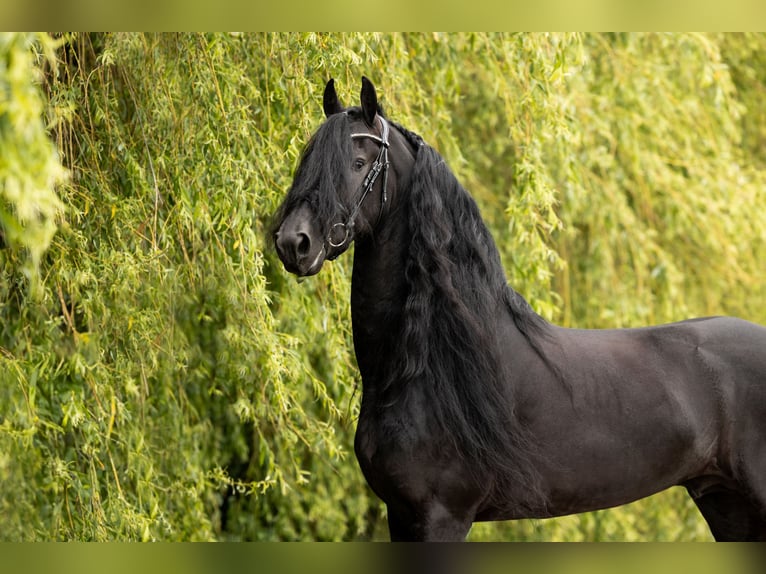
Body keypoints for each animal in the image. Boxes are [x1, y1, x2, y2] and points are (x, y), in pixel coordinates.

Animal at [272, 77, 766, 544]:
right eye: (308, 162)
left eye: (358, 163)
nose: (294, 243)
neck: (428, 367)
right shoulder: (402, 515)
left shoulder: (441, 516)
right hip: (726, 503)